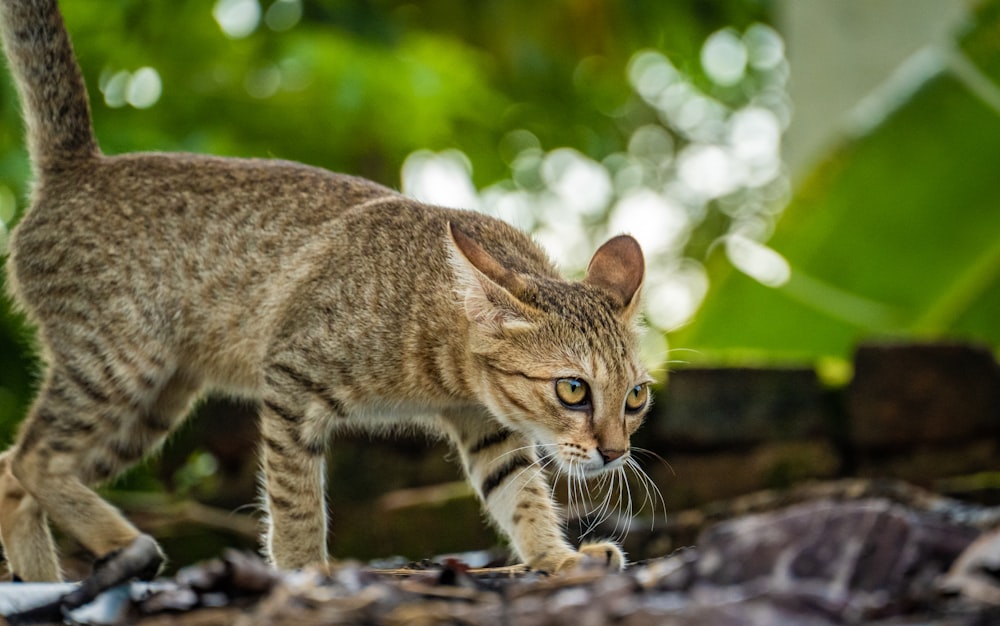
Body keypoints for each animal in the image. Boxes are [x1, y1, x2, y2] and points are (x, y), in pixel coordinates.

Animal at [0, 0, 652, 600]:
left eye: (636, 397)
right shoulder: (290, 377)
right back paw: (118, 548)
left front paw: (557, 558)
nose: (615, 452)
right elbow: (295, 501)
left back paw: (46, 583)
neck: (445, 361)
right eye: (573, 390)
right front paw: (301, 571)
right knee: (33, 459)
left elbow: (521, 495)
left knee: (13, 472)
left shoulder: (485, 427)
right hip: (119, 366)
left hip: (153, 402)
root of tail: (78, 168)